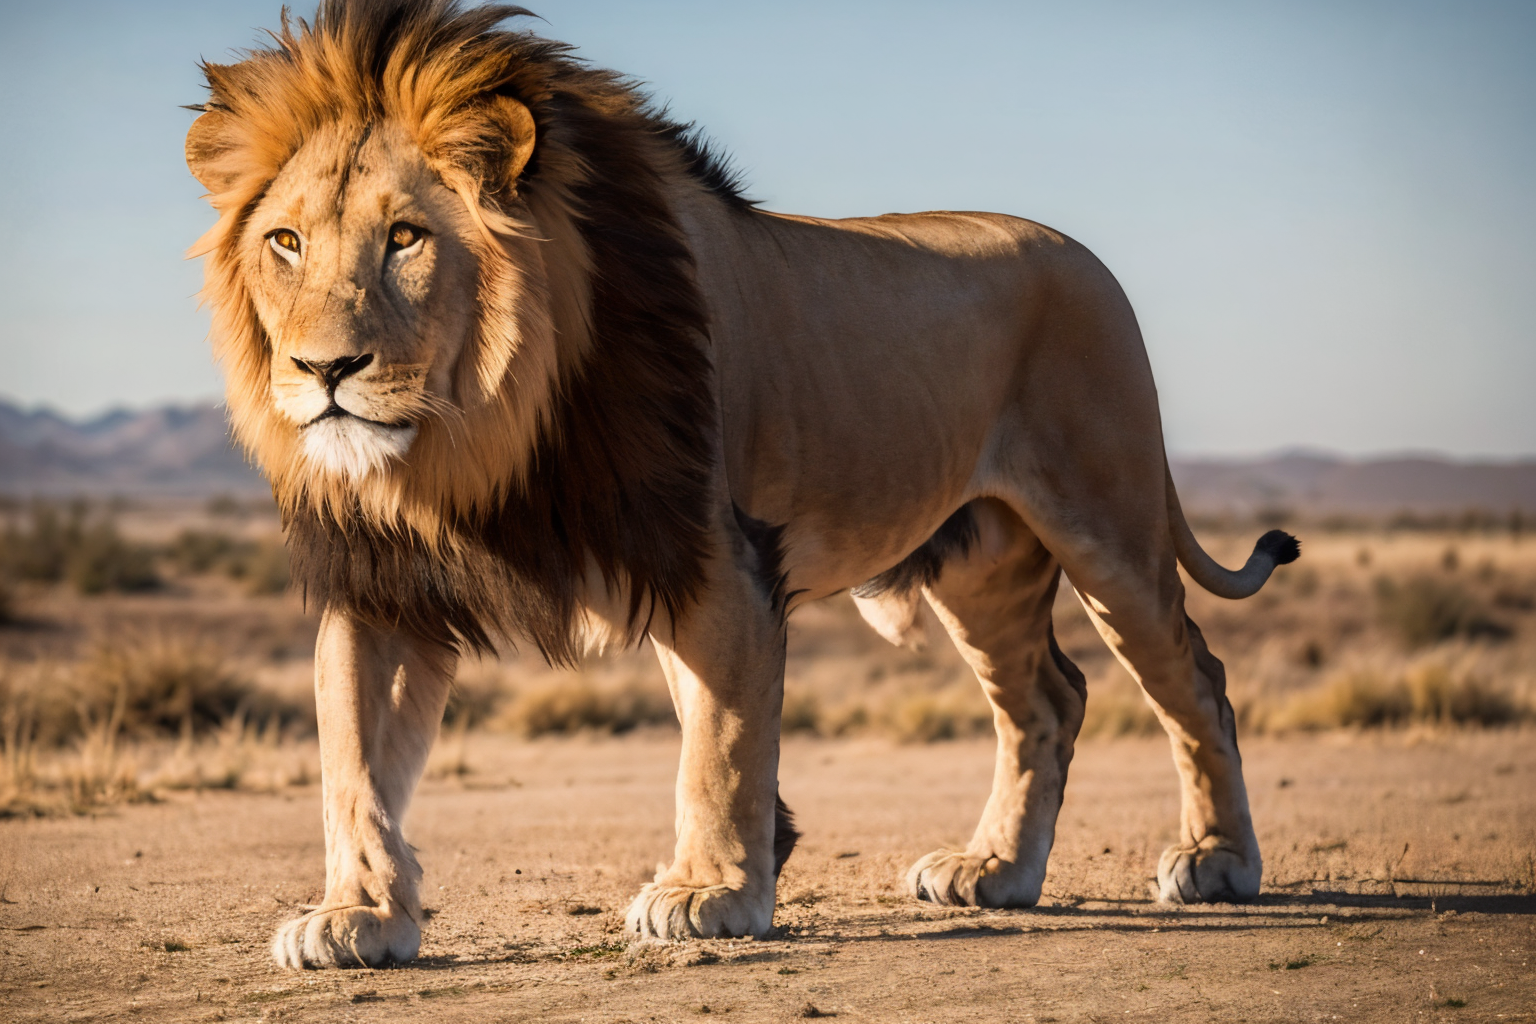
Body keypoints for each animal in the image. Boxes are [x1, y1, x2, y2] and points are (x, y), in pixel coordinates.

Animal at [185, 0, 1299, 968]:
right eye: (286, 241)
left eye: (406, 238)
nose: (324, 370)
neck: (471, 443)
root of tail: (1086, 256)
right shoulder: (382, 584)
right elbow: (353, 763)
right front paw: (358, 915)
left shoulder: (720, 554)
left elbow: (716, 742)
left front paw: (709, 894)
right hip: (983, 561)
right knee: (1047, 701)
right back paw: (997, 871)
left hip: (1108, 523)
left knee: (1193, 679)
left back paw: (1217, 861)